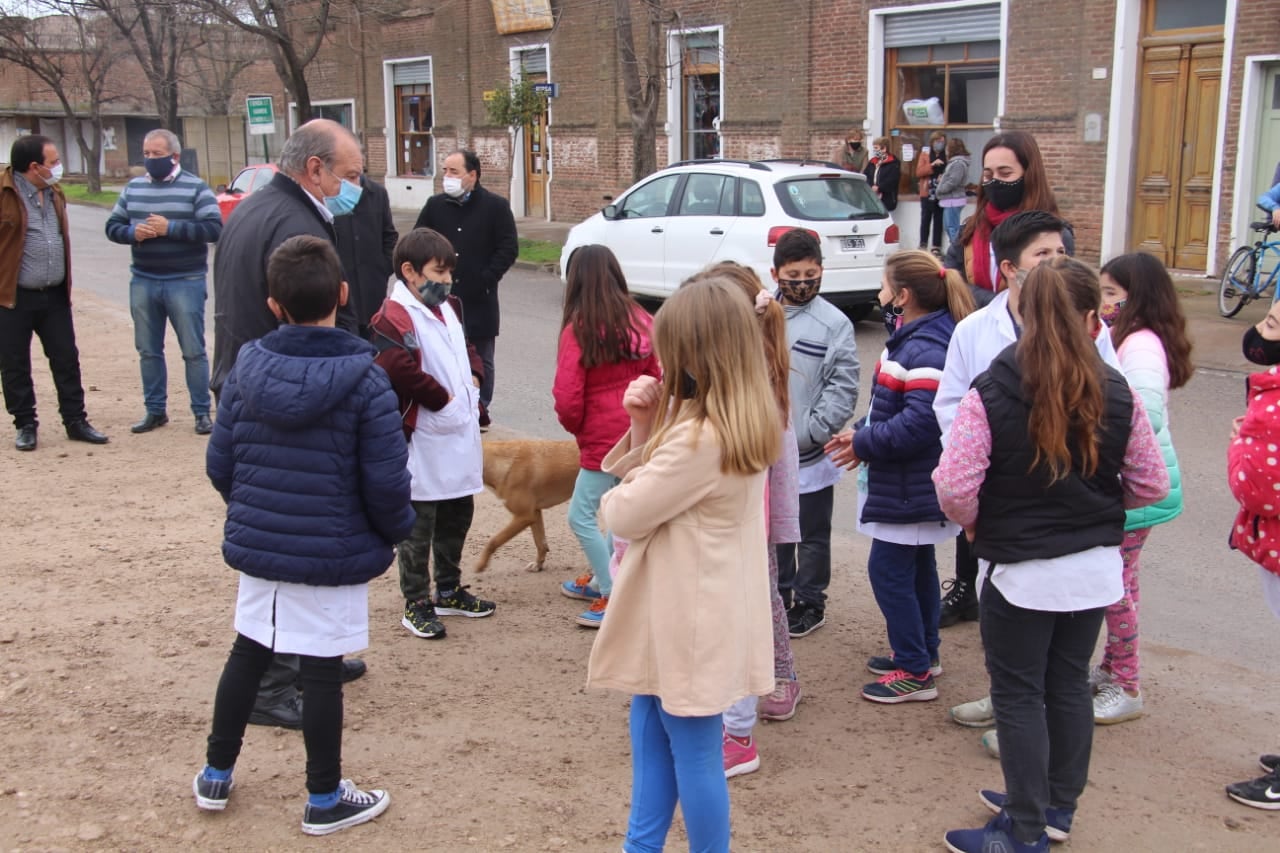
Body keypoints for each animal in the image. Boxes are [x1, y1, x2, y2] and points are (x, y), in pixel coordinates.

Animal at [476, 438, 581, 571]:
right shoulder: (534, 513)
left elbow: (493, 541)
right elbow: (541, 543)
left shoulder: (524, 516)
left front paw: (481, 565)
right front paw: (538, 565)